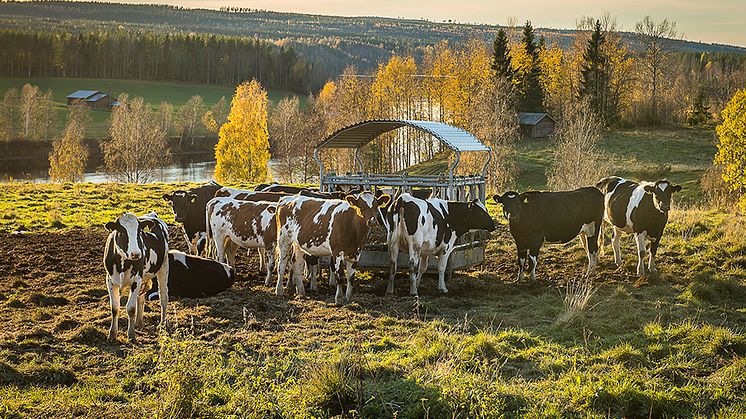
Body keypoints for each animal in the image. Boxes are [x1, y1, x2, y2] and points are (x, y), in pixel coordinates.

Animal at [103, 212, 169, 342]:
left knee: (163, 297)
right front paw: (112, 334)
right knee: (141, 297)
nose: (136, 254)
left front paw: (131, 335)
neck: (123, 264)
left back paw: (162, 324)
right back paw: (138, 322)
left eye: (139, 232)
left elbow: (131, 308)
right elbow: (115, 308)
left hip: (164, 267)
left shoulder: (136, 281)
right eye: (122, 232)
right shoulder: (110, 281)